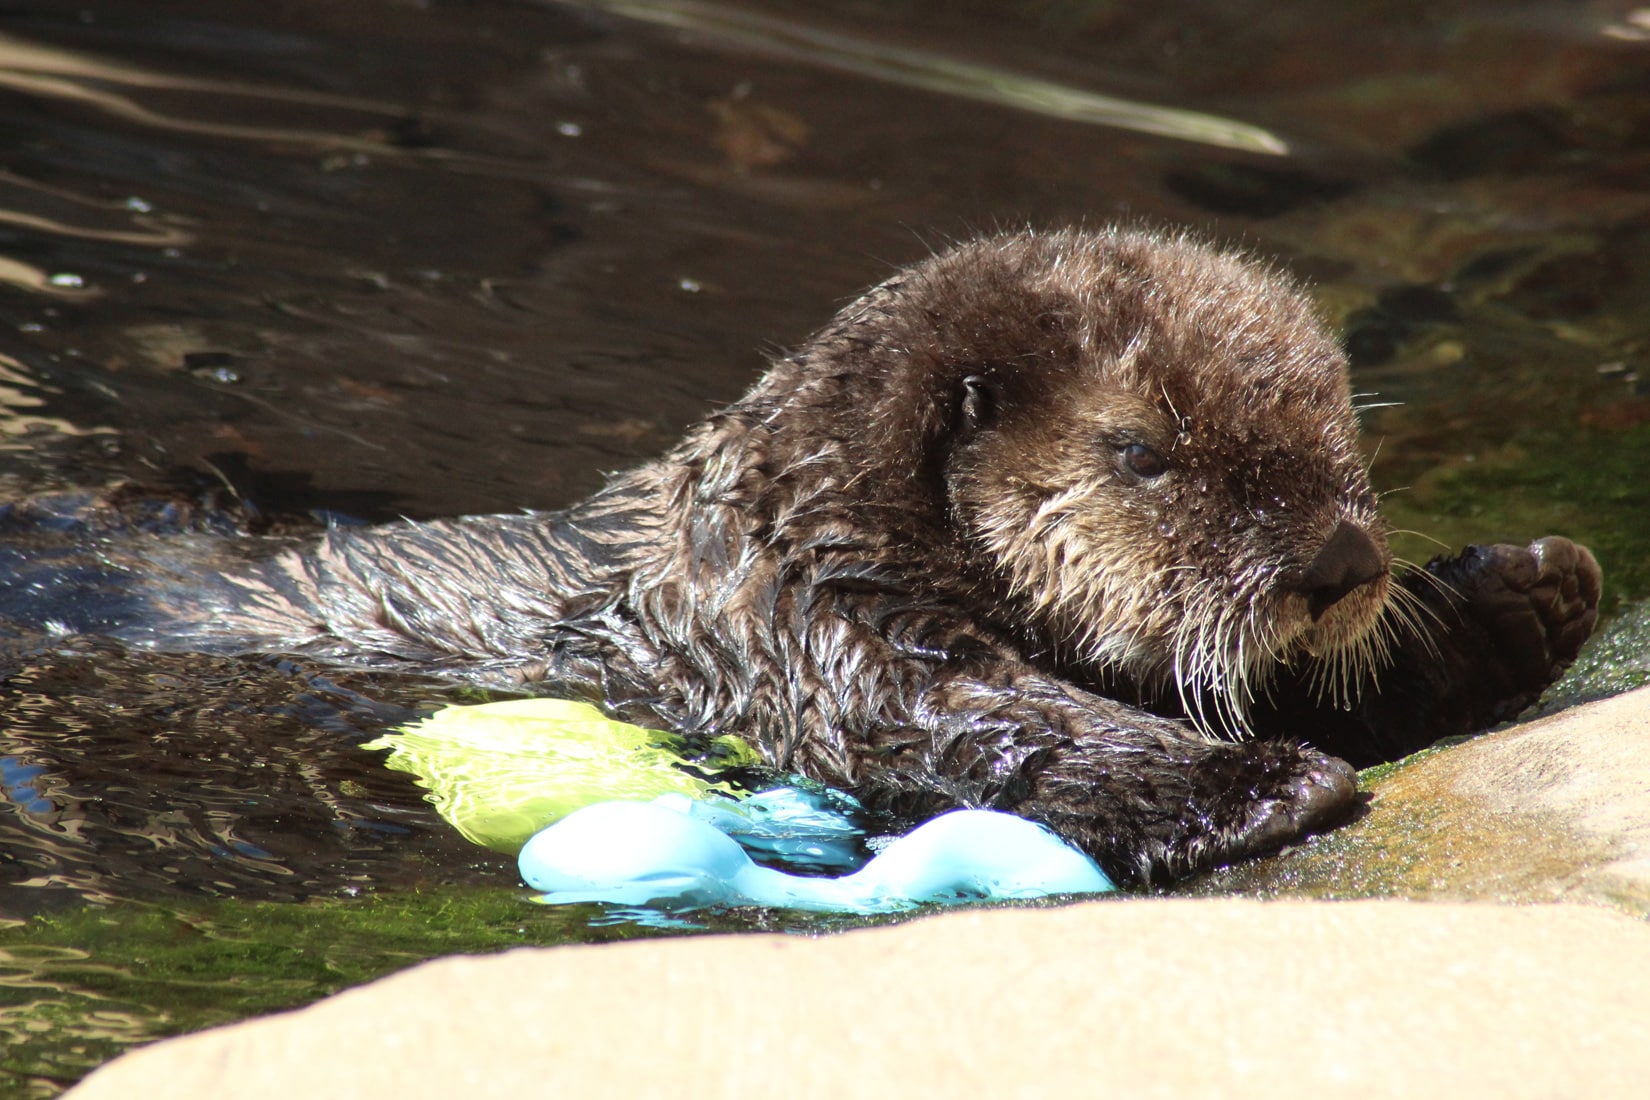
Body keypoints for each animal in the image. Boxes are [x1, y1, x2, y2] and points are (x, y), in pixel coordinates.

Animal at [3, 227, 1597, 883]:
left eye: (1333, 415)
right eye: (1141, 450)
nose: (1338, 561)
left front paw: (1524, 591)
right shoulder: (819, 633)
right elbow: (995, 725)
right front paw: (1251, 785)